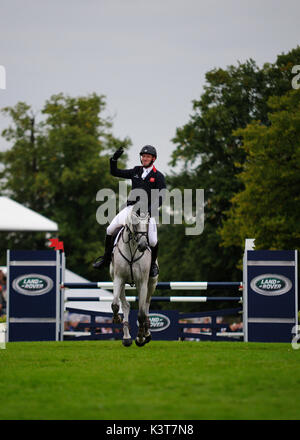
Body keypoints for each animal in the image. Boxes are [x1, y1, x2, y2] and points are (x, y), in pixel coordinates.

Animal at [109, 206, 158, 348]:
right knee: (126, 305)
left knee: (146, 305)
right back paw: (126, 337)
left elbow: (141, 314)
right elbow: (115, 305)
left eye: (147, 224)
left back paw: (146, 333)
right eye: (135, 224)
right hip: (120, 282)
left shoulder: (142, 282)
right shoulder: (118, 279)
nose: (143, 246)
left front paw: (141, 338)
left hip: (151, 284)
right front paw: (117, 318)